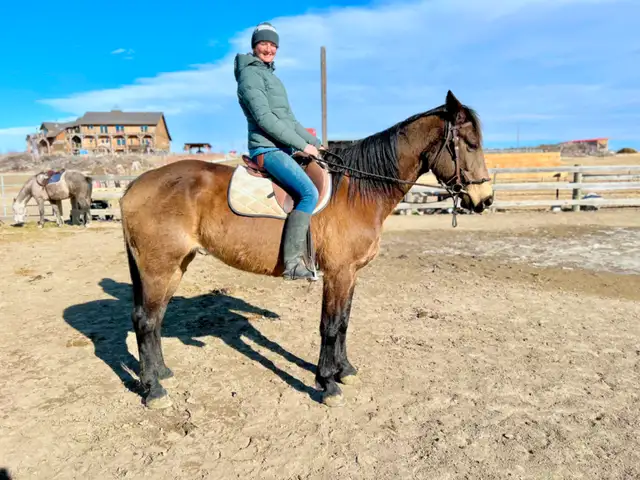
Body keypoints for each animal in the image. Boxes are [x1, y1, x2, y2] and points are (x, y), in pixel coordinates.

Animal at [119, 90, 494, 409]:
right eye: (471, 143)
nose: (485, 200)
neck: (357, 191)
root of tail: (134, 185)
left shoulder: (350, 274)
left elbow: (343, 322)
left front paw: (345, 371)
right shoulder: (338, 273)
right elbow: (329, 325)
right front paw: (327, 383)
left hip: (174, 265)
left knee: (154, 319)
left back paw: (161, 374)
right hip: (159, 267)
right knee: (146, 320)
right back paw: (154, 390)